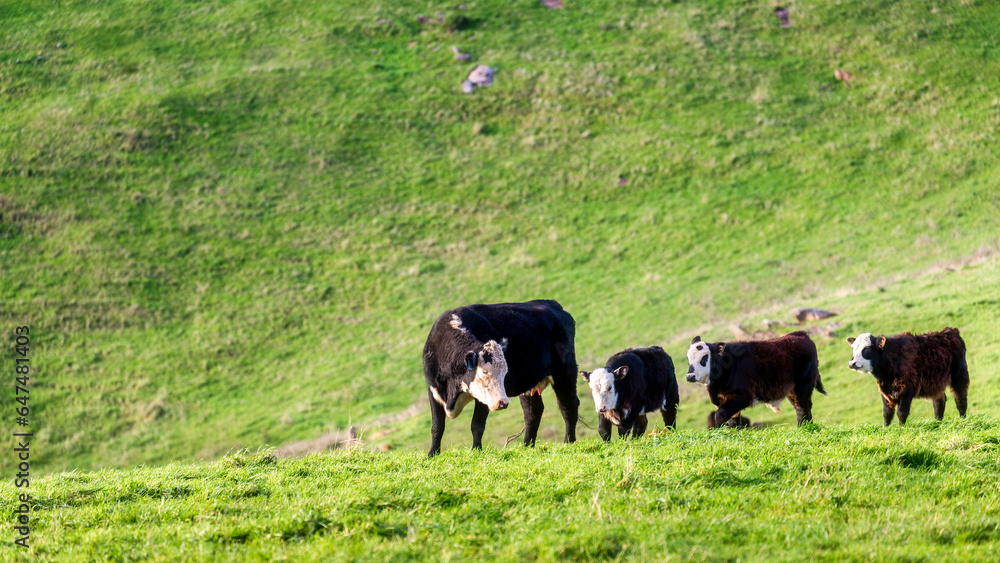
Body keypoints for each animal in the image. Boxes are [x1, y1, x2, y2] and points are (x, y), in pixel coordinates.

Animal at [422, 300, 579, 457]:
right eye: (485, 371)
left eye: (505, 373)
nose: (503, 403)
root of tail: (552, 305)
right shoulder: (433, 391)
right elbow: (437, 427)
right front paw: (432, 454)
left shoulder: (484, 399)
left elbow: (477, 425)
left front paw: (476, 450)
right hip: (529, 384)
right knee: (533, 412)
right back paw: (527, 446)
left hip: (565, 374)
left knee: (568, 405)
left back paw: (568, 442)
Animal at [685, 331, 827, 427]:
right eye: (688, 358)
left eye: (704, 358)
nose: (690, 376)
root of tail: (801, 334)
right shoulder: (724, 400)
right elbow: (732, 420)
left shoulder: (744, 396)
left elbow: (720, 415)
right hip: (792, 390)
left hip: (802, 386)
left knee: (802, 408)